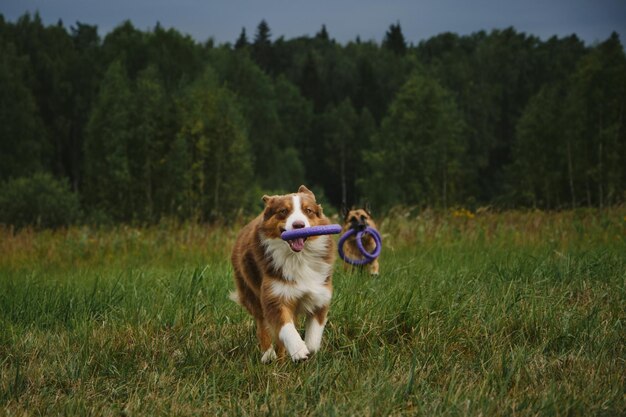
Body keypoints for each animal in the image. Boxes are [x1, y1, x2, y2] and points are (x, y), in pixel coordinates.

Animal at [230, 185, 336, 360]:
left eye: (308, 210)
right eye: (283, 211)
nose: (299, 225)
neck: (298, 257)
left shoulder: (320, 295)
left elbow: (313, 340)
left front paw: (307, 348)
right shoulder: (274, 295)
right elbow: (285, 327)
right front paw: (298, 350)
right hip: (250, 290)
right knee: (262, 323)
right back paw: (268, 355)